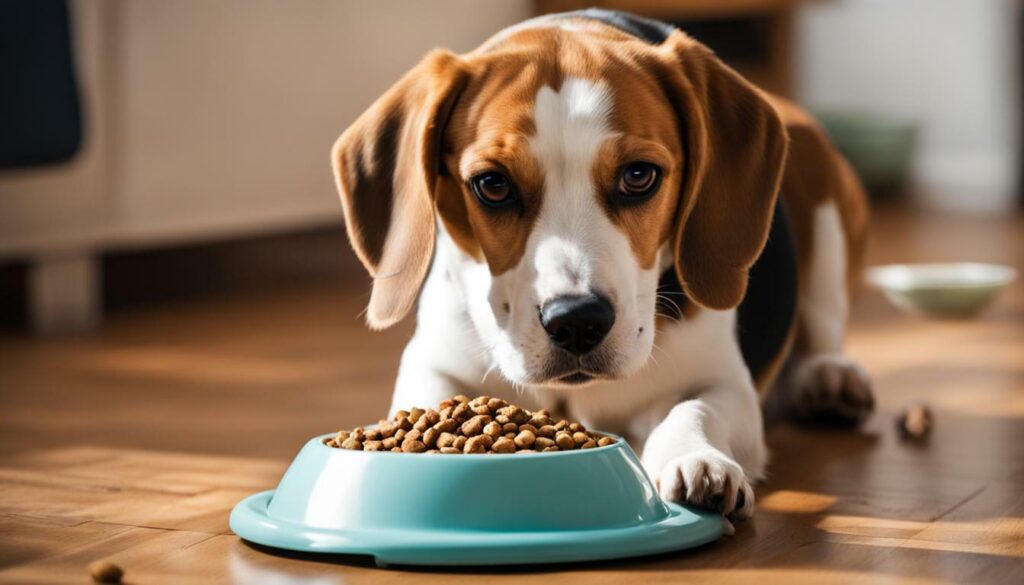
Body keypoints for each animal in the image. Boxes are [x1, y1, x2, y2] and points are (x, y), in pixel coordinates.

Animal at [329, 9, 872, 524]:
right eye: (493, 184)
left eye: (638, 176)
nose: (576, 322)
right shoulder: (432, 361)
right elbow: (428, 401)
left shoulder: (725, 381)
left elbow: (696, 409)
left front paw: (695, 458)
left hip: (824, 201)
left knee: (822, 328)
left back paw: (828, 380)